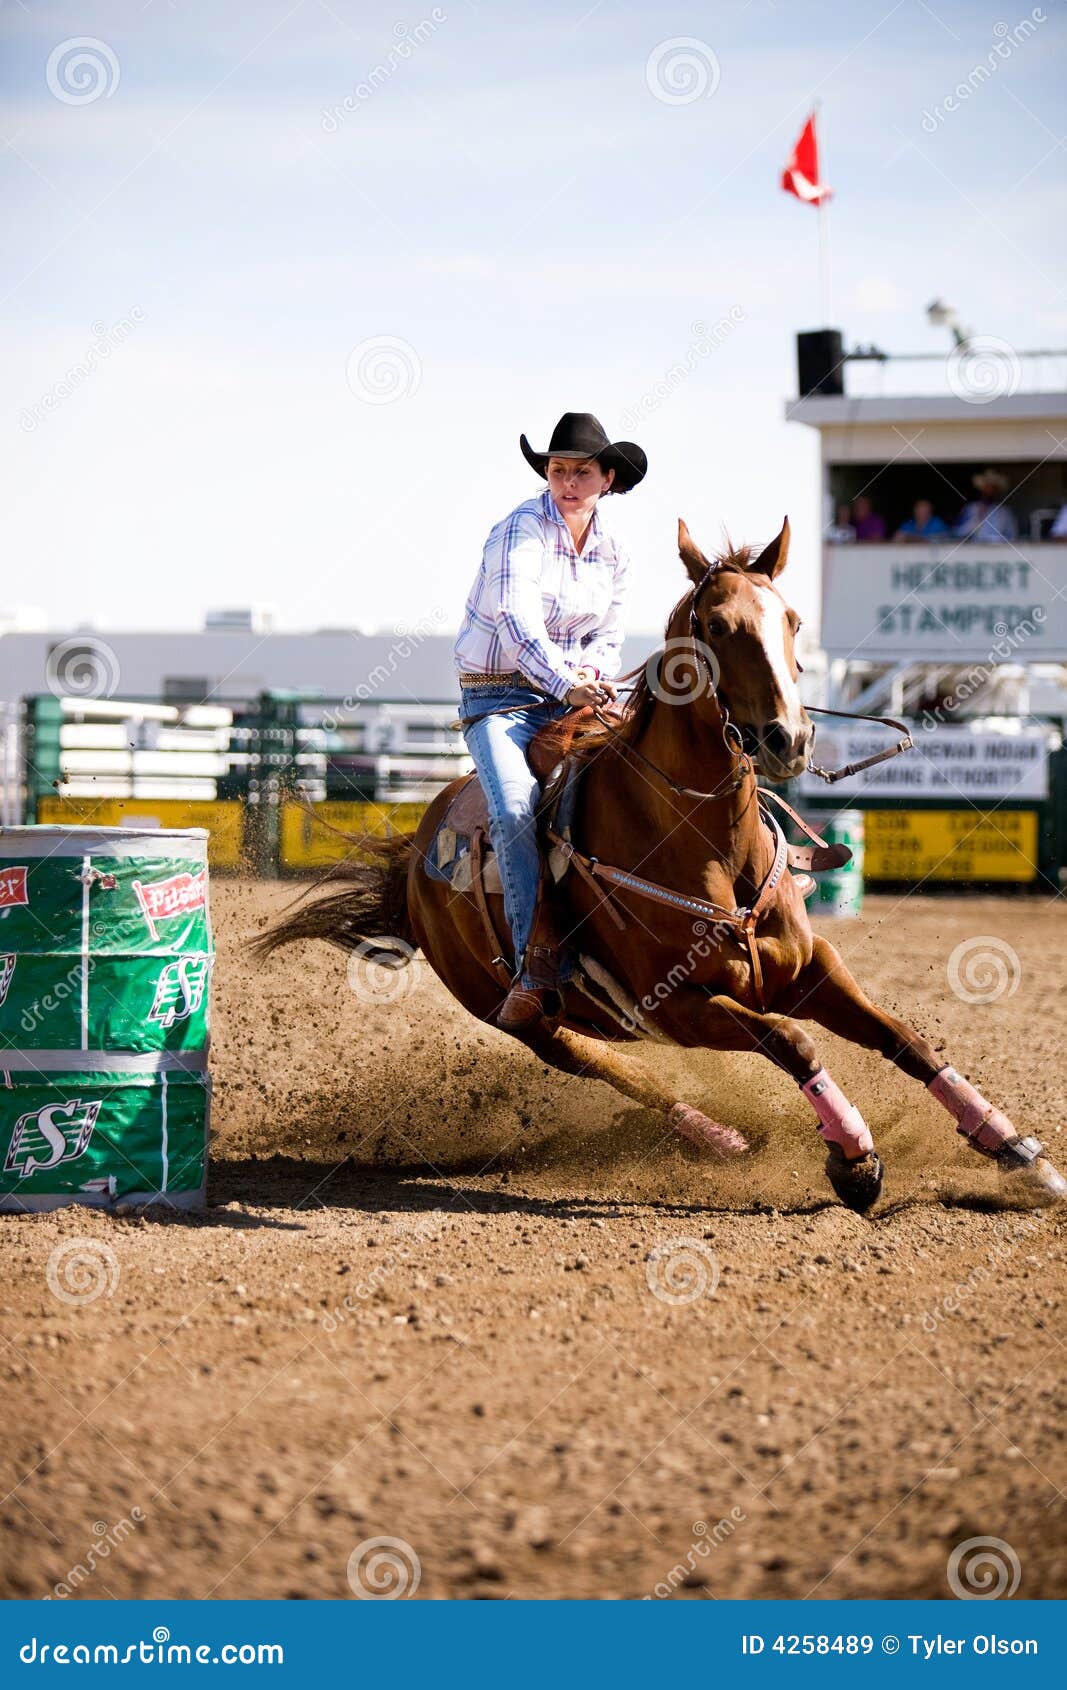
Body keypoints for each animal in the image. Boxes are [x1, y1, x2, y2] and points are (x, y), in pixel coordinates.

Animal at [256, 517, 1066, 1212]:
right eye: (715, 626)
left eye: (792, 621)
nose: (788, 739)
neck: (702, 841)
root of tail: (417, 855)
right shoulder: (677, 1004)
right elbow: (793, 1041)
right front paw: (853, 1158)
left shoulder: (809, 967)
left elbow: (903, 1038)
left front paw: (1015, 1152)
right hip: (520, 1015)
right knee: (617, 1069)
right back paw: (718, 1136)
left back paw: (728, 1137)